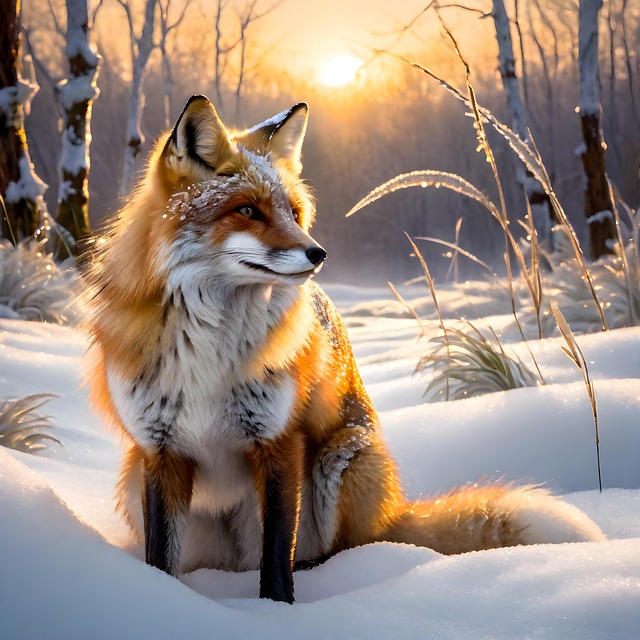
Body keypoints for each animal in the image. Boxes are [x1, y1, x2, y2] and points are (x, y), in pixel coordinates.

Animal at [86, 95, 605, 603]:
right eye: (248, 211)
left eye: (294, 213)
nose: (318, 253)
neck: (207, 348)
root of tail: (392, 512)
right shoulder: (160, 449)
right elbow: (161, 559)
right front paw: (169, 602)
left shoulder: (280, 441)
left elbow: (278, 559)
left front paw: (276, 613)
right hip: (135, 477)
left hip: (343, 457)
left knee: (337, 551)